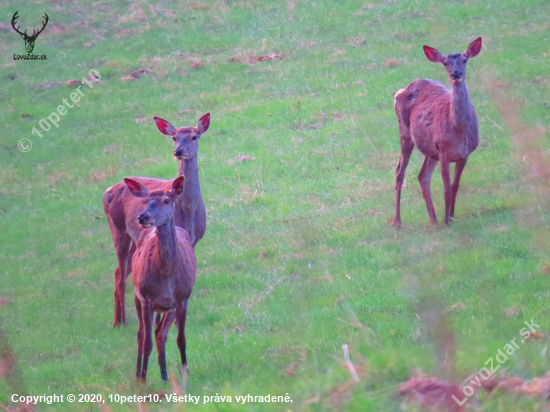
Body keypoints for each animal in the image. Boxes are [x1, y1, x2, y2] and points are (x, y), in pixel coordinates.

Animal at [103, 112, 209, 326]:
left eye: (194, 137)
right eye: (174, 137)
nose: (179, 151)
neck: (187, 209)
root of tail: (106, 191)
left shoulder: (193, 240)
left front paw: (173, 319)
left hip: (136, 240)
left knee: (119, 271)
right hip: (117, 228)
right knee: (121, 274)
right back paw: (120, 321)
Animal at [124, 175, 197, 382]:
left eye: (166, 200)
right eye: (144, 201)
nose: (143, 217)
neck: (166, 274)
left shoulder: (183, 298)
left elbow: (181, 339)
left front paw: (185, 370)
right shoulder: (147, 298)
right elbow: (146, 341)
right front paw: (143, 378)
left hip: (168, 308)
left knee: (160, 332)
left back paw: (164, 375)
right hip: (137, 295)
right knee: (142, 334)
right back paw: (138, 374)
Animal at [392, 37, 484, 227]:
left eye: (465, 60)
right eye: (445, 63)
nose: (456, 74)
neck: (458, 130)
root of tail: (400, 92)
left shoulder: (465, 153)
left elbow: (455, 186)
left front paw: (452, 216)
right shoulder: (443, 151)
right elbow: (446, 189)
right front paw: (447, 221)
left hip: (430, 149)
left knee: (422, 175)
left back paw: (433, 219)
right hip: (405, 132)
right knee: (399, 172)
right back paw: (397, 222)